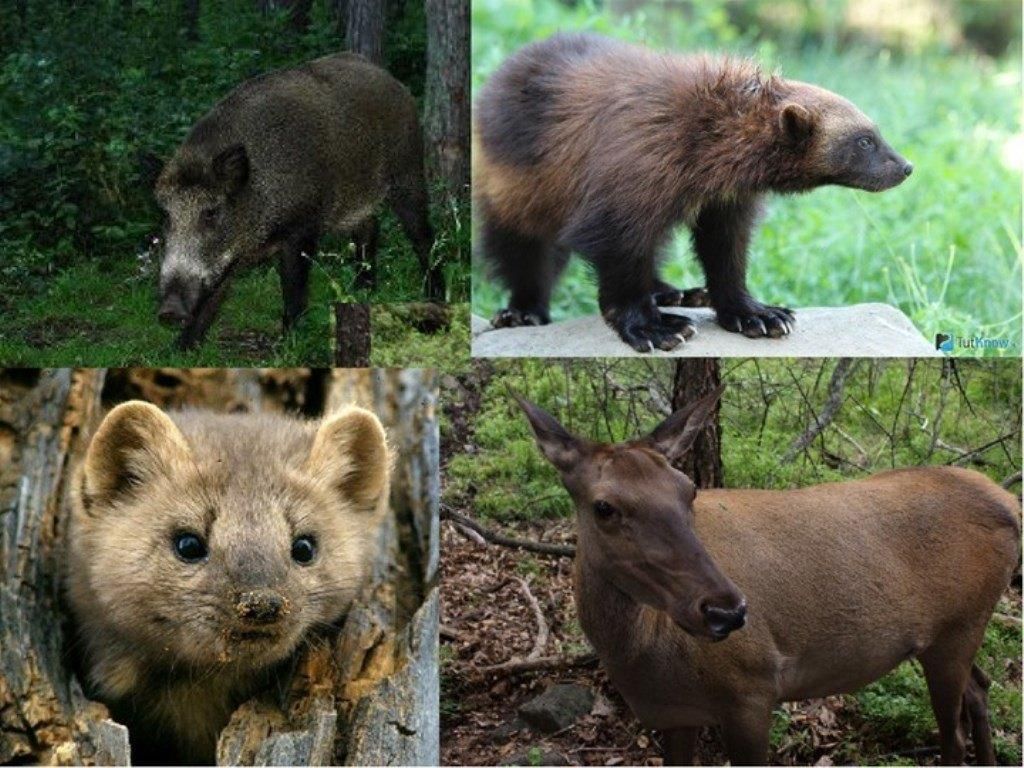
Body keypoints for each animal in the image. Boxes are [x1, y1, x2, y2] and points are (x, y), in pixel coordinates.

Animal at [516, 387, 1019, 765]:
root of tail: (1011, 503)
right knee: (981, 687)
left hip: (957, 628)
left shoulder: (751, 690)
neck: (644, 662)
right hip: (954, 632)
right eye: (604, 507)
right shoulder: (676, 715)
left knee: (953, 737)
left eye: (689, 489)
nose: (727, 611)